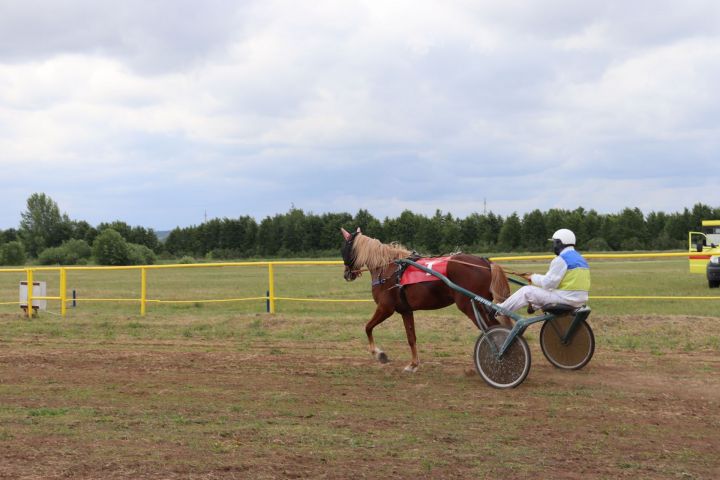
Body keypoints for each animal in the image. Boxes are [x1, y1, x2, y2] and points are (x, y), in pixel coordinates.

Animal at [342, 227, 512, 374]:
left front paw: (379, 354)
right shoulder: (406, 311)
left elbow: (368, 327)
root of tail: (485, 263)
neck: (389, 269)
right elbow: (411, 338)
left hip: (471, 306)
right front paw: (413, 364)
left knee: (492, 331)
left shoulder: (385, 308)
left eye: (345, 248)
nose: (346, 274)